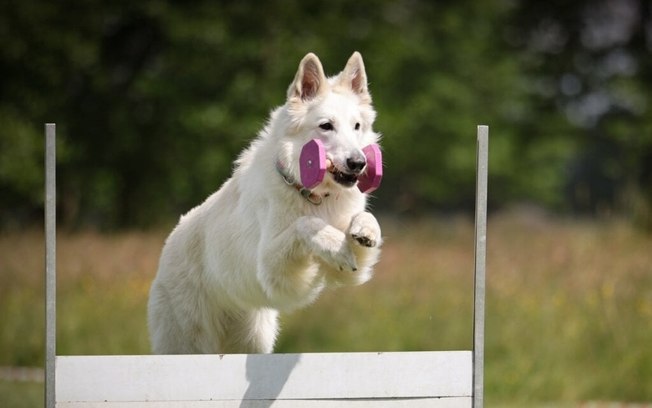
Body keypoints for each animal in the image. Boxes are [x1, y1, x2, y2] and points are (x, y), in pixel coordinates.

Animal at [148, 52, 382, 354]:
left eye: (357, 127)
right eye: (326, 126)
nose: (358, 163)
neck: (314, 196)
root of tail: (167, 247)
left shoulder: (349, 273)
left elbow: (363, 222)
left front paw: (365, 231)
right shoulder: (274, 271)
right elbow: (305, 225)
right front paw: (334, 245)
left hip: (253, 340)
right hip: (191, 344)